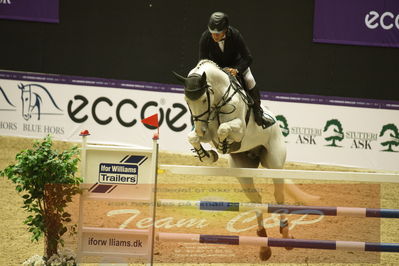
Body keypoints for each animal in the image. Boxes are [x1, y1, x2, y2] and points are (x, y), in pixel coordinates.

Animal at [173, 59, 318, 260]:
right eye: (187, 101)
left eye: (203, 99)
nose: (201, 129)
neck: (218, 100)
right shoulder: (206, 133)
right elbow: (193, 137)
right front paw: (209, 155)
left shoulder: (239, 129)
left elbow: (224, 129)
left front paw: (224, 145)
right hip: (243, 171)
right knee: (256, 199)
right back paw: (264, 245)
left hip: (275, 165)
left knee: (278, 197)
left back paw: (285, 234)